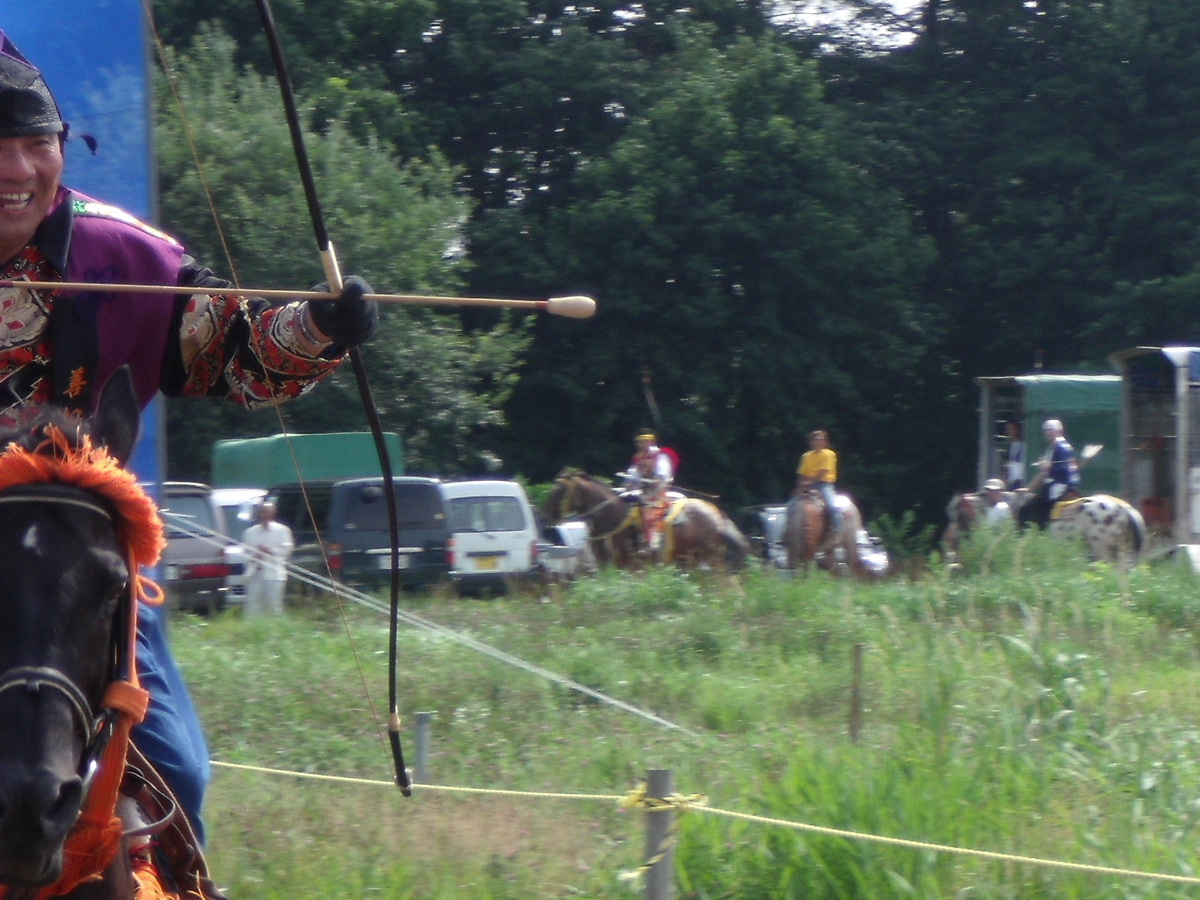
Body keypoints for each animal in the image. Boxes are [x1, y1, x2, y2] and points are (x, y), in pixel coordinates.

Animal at [544, 472, 748, 571]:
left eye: (560, 492)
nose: (548, 519)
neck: (613, 517)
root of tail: (717, 513)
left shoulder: (630, 565)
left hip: (711, 555)